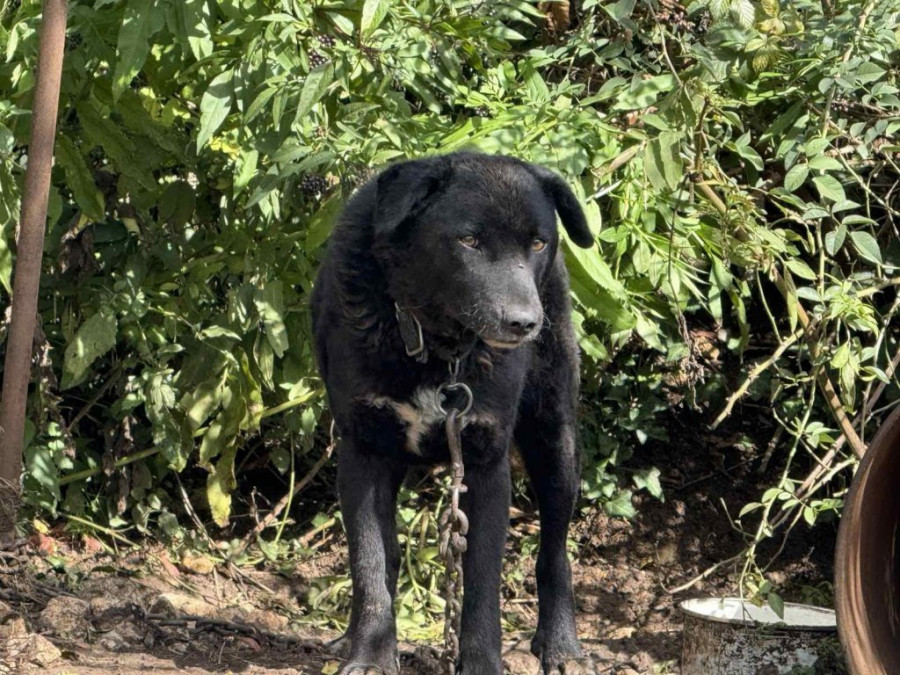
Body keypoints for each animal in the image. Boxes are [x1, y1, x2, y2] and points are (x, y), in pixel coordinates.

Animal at [311, 152, 595, 675]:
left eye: (538, 242)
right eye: (469, 240)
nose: (525, 323)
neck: (437, 344)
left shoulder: (485, 463)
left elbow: (482, 585)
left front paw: (481, 663)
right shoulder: (363, 451)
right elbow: (369, 563)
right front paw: (370, 654)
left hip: (556, 440)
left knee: (555, 553)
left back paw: (562, 645)